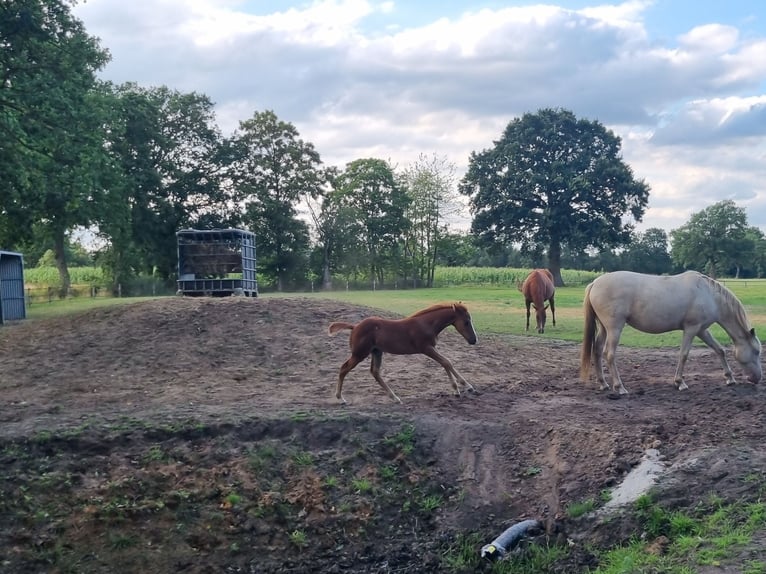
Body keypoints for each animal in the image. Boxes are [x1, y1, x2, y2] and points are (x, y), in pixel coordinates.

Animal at [328, 302, 478, 403]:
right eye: (466, 322)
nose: (474, 340)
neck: (426, 324)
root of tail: (354, 326)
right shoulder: (426, 348)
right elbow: (446, 362)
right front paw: (464, 387)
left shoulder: (431, 348)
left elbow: (446, 363)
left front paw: (460, 389)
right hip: (359, 354)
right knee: (344, 368)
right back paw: (340, 398)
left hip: (377, 352)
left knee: (375, 372)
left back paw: (395, 398)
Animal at [580, 270, 762, 394]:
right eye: (756, 351)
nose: (757, 378)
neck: (709, 295)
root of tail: (595, 283)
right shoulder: (691, 329)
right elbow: (684, 355)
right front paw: (680, 382)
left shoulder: (702, 330)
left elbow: (720, 350)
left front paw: (730, 378)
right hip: (614, 328)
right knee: (609, 354)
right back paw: (619, 387)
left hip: (604, 328)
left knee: (597, 351)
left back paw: (603, 384)